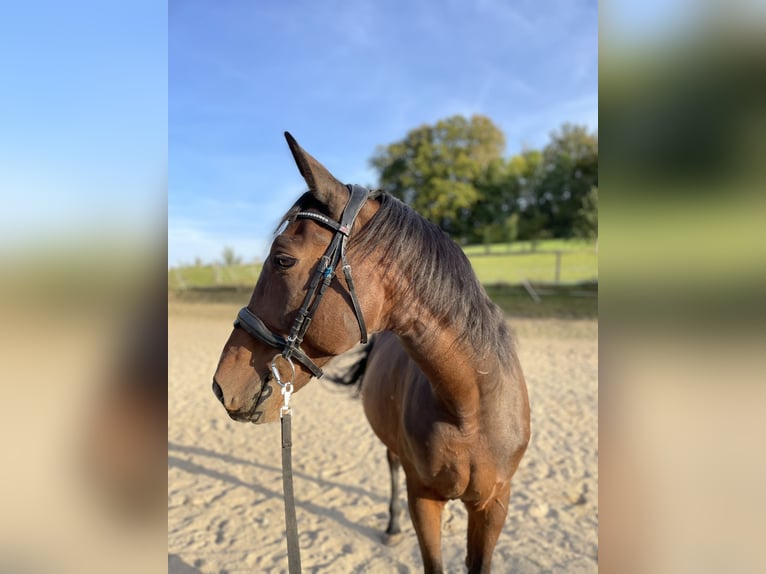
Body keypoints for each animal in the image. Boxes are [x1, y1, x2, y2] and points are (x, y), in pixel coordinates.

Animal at [213, 133, 532, 572]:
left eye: (282, 259)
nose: (221, 385)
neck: (471, 406)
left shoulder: (493, 504)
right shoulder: (424, 499)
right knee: (391, 466)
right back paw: (392, 526)